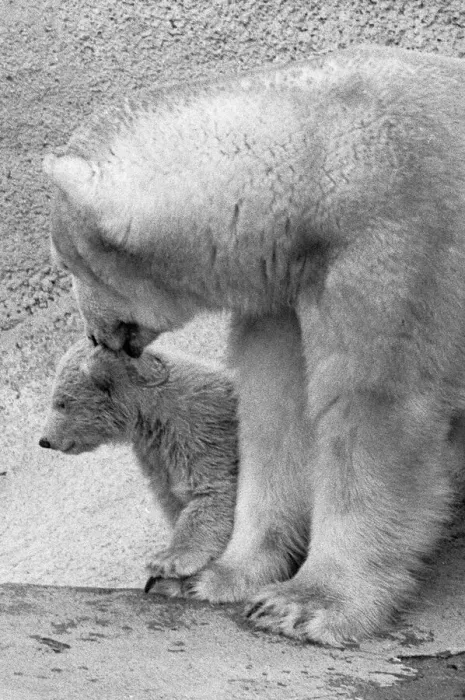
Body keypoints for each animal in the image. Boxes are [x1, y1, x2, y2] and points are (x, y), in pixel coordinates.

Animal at [39, 338, 239, 582]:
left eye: (62, 403)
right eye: (56, 400)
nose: (45, 440)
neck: (152, 413)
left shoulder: (201, 428)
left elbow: (213, 488)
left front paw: (170, 559)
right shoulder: (153, 453)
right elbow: (169, 495)